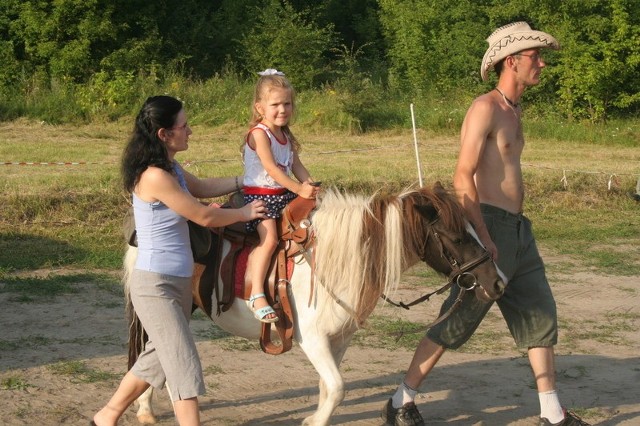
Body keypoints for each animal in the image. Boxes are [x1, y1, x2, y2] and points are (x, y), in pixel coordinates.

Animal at [124, 183, 504, 426]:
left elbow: (328, 387)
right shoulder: (313, 339)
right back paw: (148, 408)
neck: (337, 259)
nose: (497, 282)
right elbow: (337, 387)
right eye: (458, 238)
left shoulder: (340, 338)